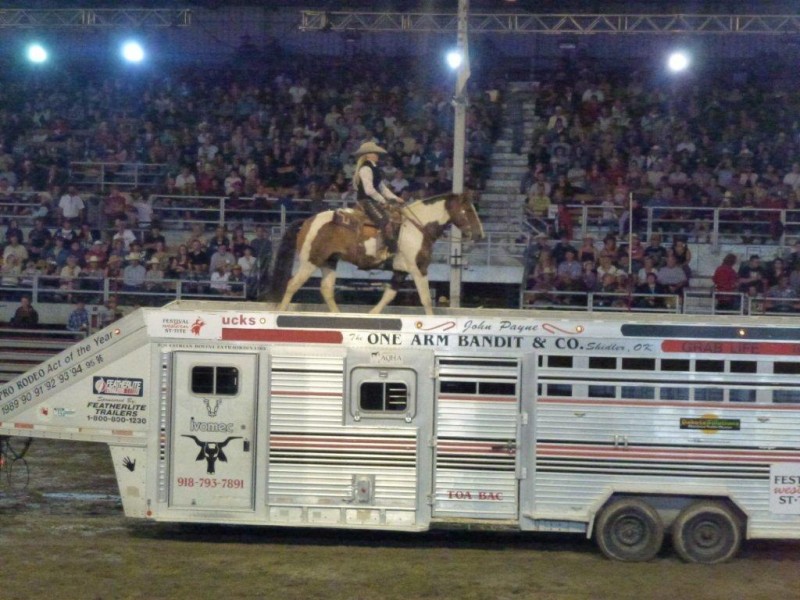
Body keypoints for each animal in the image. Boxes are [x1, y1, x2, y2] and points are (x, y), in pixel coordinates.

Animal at [262, 192, 484, 315]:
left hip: (329, 262)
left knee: (326, 289)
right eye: (468, 210)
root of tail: (308, 221)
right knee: (292, 285)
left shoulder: (401, 271)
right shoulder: (418, 269)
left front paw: (371, 314)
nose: (480, 234)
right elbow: (426, 300)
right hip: (310, 261)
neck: (417, 228)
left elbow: (388, 296)